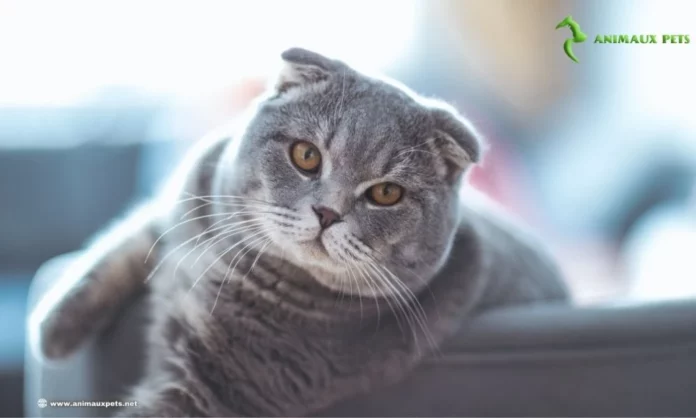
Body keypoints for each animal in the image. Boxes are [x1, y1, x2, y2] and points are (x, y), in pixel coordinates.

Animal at [28, 47, 572, 416]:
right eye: (306, 155)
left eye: (386, 194)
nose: (328, 213)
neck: (230, 261)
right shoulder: (179, 210)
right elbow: (116, 251)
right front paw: (52, 330)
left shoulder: (212, 386)